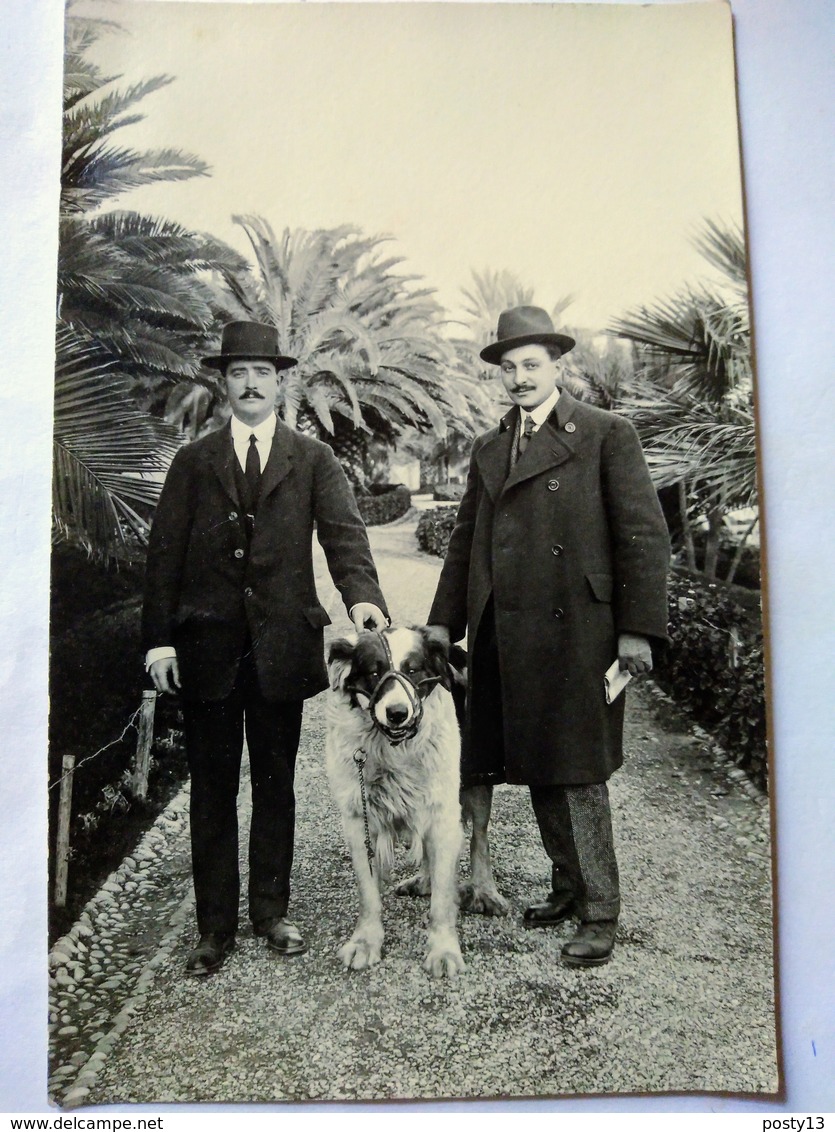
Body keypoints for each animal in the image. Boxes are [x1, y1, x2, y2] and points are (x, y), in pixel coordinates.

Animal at [323, 624, 500, 978]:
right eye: (374, 672)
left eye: (413, 670)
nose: (396, 713)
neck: (393, 748)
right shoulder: (358, 819)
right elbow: (368, 892)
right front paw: (365, 941)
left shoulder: (444, 813)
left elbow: (443, 899)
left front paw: (443, 949)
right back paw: (424, 880)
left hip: (474, 783)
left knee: (479, 837)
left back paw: (484, 890)